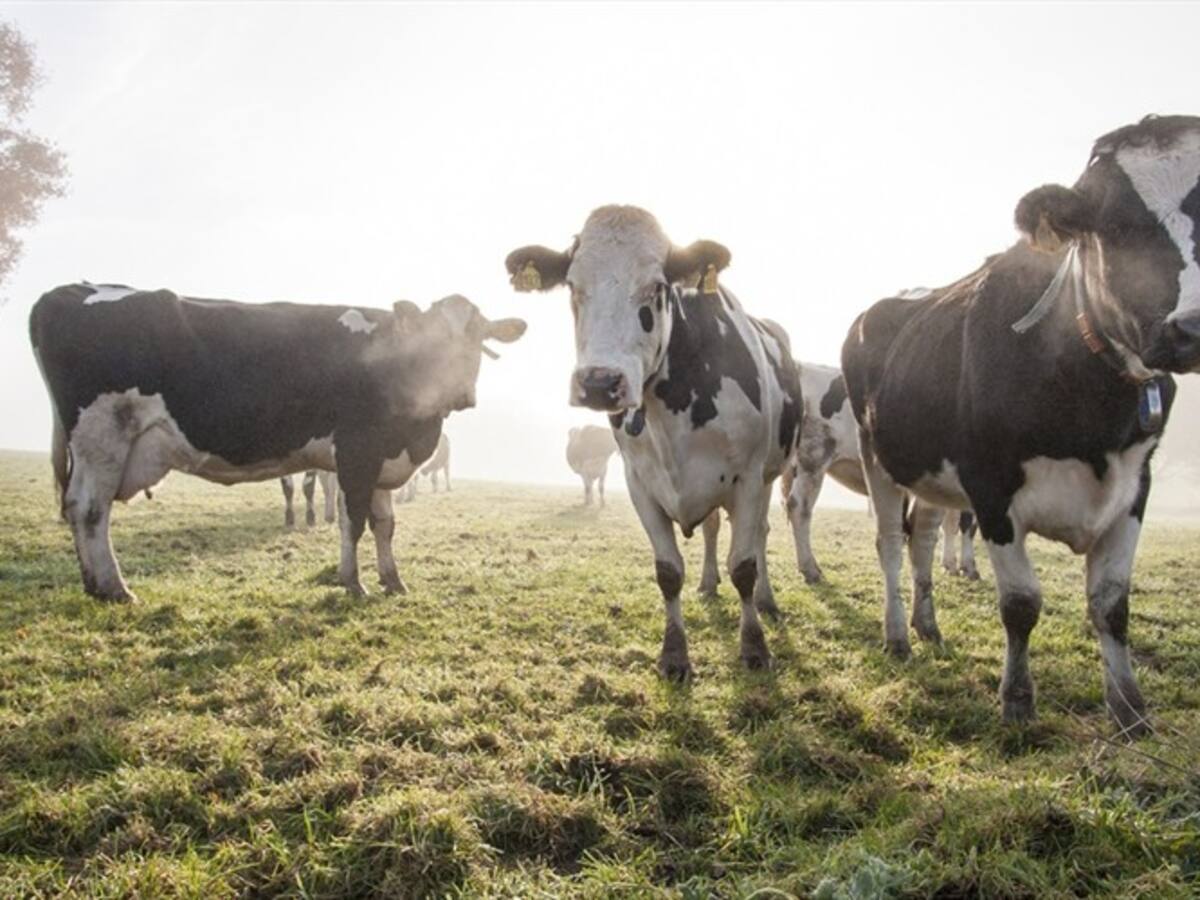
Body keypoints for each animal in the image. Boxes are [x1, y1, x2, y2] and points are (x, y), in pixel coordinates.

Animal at [30, 284, 525, 602]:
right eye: (432, 338)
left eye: (478, 338)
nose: (460, 393)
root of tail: (71, 290)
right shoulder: (356, 451)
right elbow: (354, 522)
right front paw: (354, 584)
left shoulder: (383, 458)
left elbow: (385, 524)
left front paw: (393, 581)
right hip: (102, 435)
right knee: (89, 509)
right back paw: (113, 588)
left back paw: (95, 584)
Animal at [506, 205, 803, 678]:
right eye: (572, 285)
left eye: (657, 286)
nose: (599, 383)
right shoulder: (639, 483)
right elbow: (668, 572)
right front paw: (674, 655)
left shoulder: (749, 477)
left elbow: (744, 567)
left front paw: (755, 647)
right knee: (713, 529)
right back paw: (707, 583)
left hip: (772, 474)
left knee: (758, 535)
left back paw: (766, 601)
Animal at [842, 114, 1200, 735]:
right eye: (1116, 227)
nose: (1194, 326)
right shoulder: (990, 486)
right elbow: (1020, 604)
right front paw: (1016, 701)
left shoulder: (1136, 484)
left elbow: (1111, 604)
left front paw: (1130, 710)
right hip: (878, 458)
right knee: (889, 543)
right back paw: (897, 636)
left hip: (933, 473)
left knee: (922, 539)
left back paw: (928, 626)